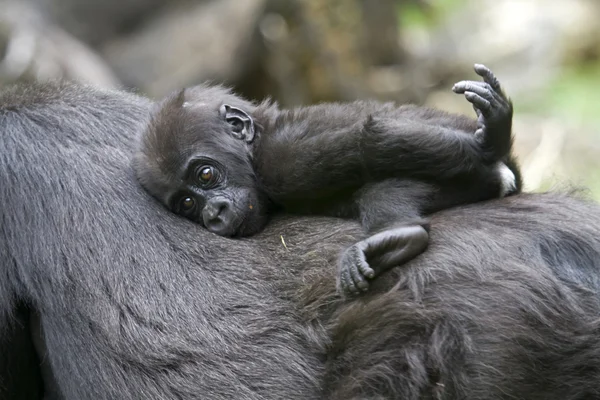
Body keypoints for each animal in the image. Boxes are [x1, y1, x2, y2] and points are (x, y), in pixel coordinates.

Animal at [134, 62, 516, 294]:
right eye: (187, 203)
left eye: (206, 174)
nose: (213, 214)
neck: (257, 142)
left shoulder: (282, 159)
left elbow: (368, 139)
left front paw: (489, 139)